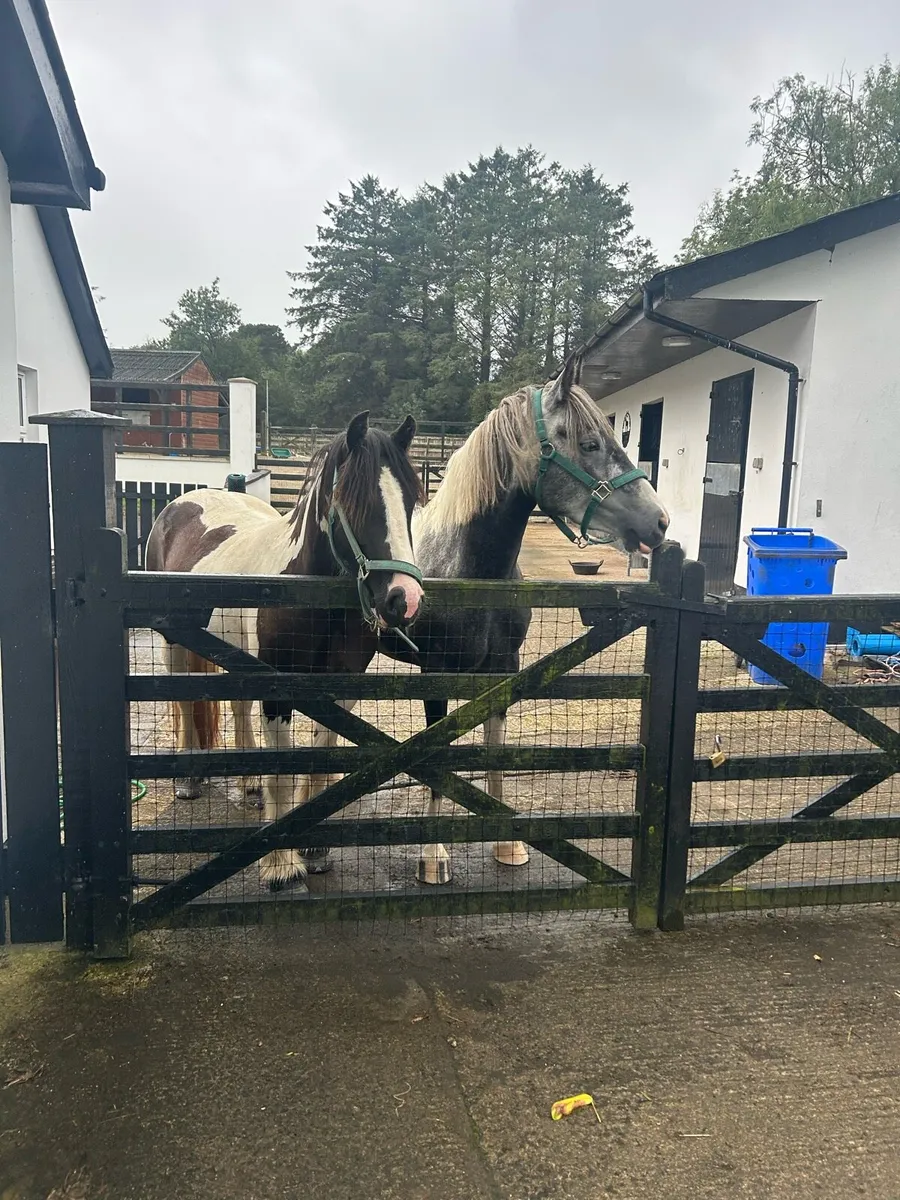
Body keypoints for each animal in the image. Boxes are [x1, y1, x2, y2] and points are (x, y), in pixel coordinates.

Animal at [144, 410, 425, 890]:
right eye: (357, 503)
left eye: (410, 502)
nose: (403, 600)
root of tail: (180, 505)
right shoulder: (279, 692)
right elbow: (283, 772)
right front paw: (280, 866)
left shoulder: (338, 689)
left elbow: (317, 763)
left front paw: (313, 849)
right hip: (174, 644)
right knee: (183, 700)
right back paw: (189, 779)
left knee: (238, 710)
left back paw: (249, 783)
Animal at [378, 355, 670, 884]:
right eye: (589, 443)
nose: (659, 522)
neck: (472, 571)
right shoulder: (435, 673)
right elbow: (434, 757)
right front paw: (433, 856)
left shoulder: (505, 670)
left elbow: (497, 754)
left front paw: (508, 844)